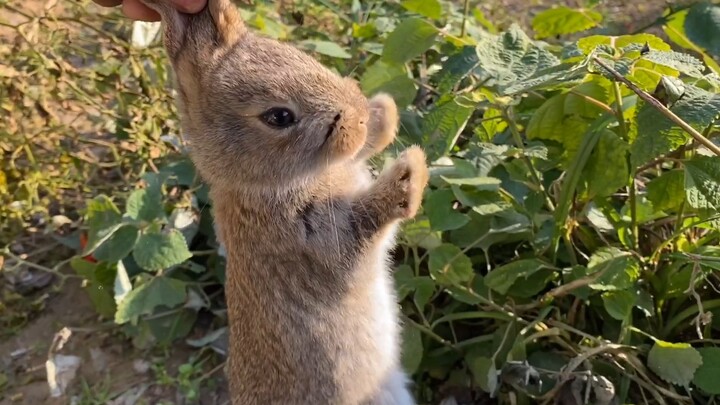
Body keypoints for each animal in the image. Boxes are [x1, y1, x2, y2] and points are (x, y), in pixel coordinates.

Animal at [138, 0, 429, 403]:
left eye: (303, 57)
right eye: (279, 116)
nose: (357, 117)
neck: (261, 182)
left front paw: (383, 112)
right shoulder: (321, 241)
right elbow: (369, 220)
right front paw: (411, 170)